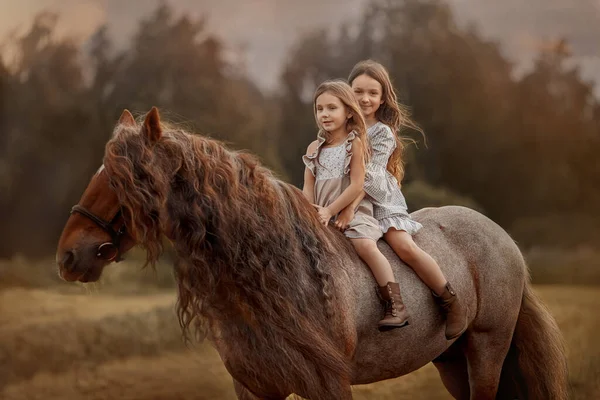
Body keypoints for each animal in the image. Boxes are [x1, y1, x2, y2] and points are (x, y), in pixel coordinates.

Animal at [56, 108, 568, 398]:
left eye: (124, 178)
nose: (68, 257)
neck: (273, 274)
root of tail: (503, 239)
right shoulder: (255, 388)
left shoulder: (329, 383)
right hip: (450, 361)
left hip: (486, 349)